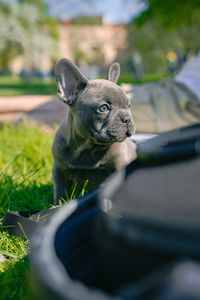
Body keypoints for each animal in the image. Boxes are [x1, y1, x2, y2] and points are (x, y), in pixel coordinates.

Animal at [52, 58, 136, 204]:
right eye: (103, 108)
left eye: (129, 106)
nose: (127, 118)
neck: (88, 146)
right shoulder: (59, 168)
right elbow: (60, 190)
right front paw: (58, 205)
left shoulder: (120, 164)